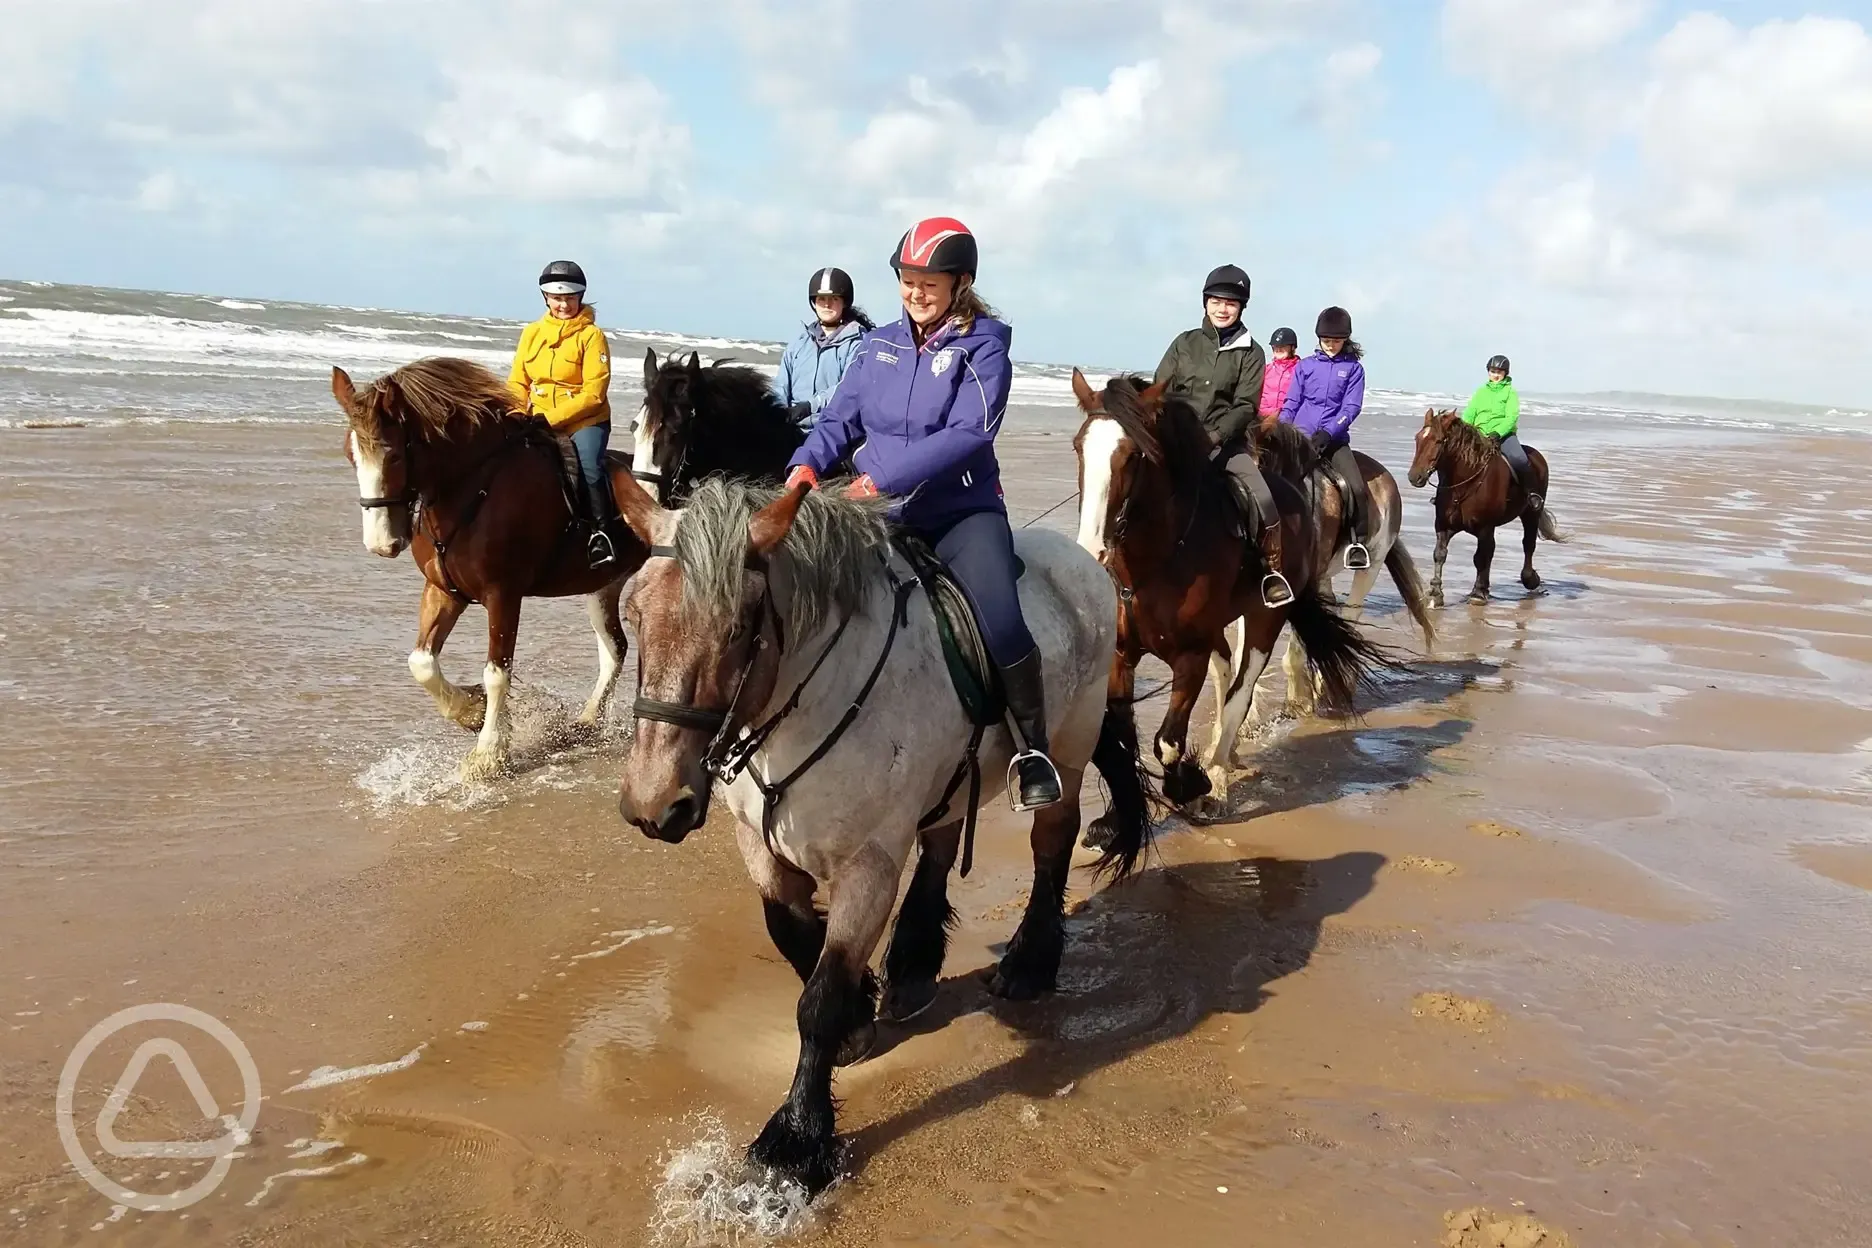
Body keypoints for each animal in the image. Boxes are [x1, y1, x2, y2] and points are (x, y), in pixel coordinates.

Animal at [336, 355, 651, 782]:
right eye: (350, 455)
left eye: (395, 456)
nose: (381, 542)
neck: (474, 488)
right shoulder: (443, 591)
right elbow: (422, 663)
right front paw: (471, 711)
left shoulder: (503, 595)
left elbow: (497, 672)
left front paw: (488, 754)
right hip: (603, 585)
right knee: (614, 648)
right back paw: (587, 721)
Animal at [610, 473, 1153, 1197]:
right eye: (633, 615)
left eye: (737, 627)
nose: (654, 803)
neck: (805, 706)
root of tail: (1084, 564)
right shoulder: (761, 848)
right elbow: (793, 936)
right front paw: (860, 1015)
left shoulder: (868, 865)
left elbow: (817, 999)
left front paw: (797, 1140)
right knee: (943, 843)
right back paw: (914, 969)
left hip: (1066, 750)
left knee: (1049, 846)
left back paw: (1028, 964)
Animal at [1407, 407, 1564, 606]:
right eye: (1417, 438)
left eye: (1438, 441)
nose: (1414, 477)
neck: (1464, 484)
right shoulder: (1444, 525)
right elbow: (1440, 554)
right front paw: (1436, 593)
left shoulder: (1485, 527)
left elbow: (1480, 558)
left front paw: (1478, 593)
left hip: (1531, 513)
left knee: (1527, 544)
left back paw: (1530, 579)